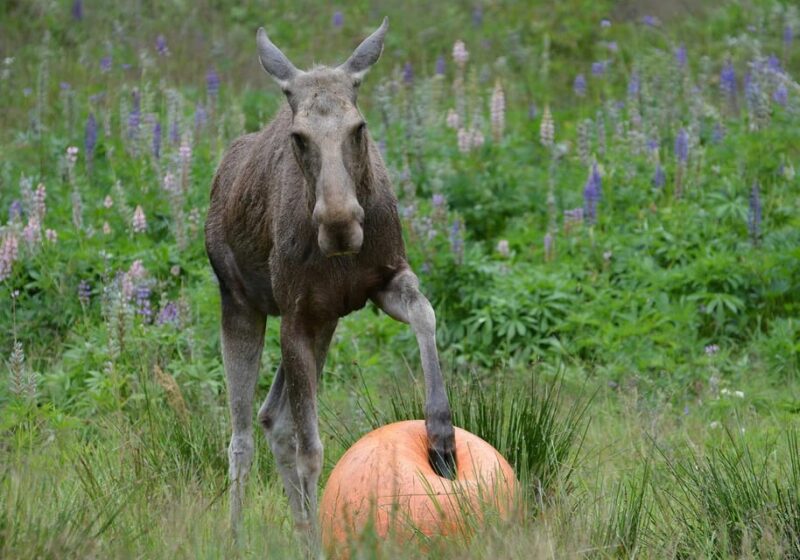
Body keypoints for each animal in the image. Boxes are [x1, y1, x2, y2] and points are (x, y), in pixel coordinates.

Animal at [204, 18, 456, 540]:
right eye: (299, 136)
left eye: (359, 128)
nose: (340, 224)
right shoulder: (296, 316)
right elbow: (311, 450)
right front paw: (320, 541)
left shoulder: (382, 281)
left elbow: (427, 315)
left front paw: (441, 439)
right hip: (242, 303)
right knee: (243, 434)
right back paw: (238, 535)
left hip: (324, 321)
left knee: (272, 418)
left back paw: (299, 529)